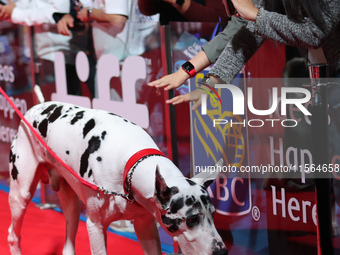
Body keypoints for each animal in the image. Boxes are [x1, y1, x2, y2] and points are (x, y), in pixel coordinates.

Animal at [6, 101, 227, 255]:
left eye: (213, 214)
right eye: (192, 219)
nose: (222, 251)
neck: (128, 166)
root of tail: (33, 109)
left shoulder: (145, 226)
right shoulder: (95, 227)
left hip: (72, 207)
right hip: (21, 196)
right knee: (13, 235)